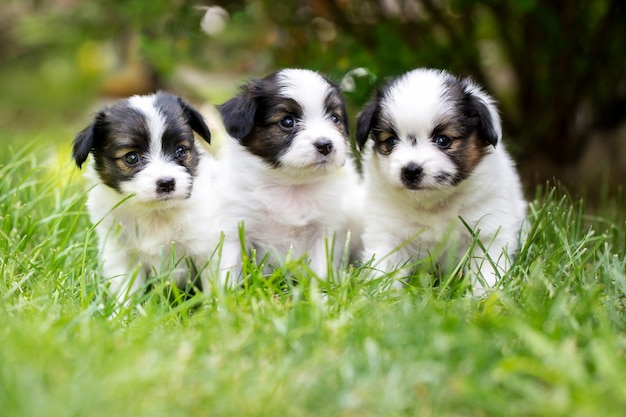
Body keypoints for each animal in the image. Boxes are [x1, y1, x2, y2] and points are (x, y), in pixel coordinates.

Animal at [72, 91, 214, 302]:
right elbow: (126, 291)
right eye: (132, 157)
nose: (167, 182)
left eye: (180, 151)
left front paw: (218, 308)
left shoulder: (209, 248)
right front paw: (121, 310)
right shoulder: (121, 256)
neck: (155, 213)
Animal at [213, 67, 360, 286]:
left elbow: (321, 267)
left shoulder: (324, 230)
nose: (326, 145)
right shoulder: (235, 225)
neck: (291, 184)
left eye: (335, 118)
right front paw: (225, 294)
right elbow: (228, 269)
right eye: (287, 122)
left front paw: (322, 291)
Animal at [354, 69, 524, 292]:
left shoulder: (488, 232)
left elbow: (487, 270)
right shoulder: (388, 235)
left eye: (443, 140)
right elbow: (385, 270)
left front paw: (485, 295)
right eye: (390, 141)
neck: (433, 204)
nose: (411, 170)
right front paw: (381, 295)